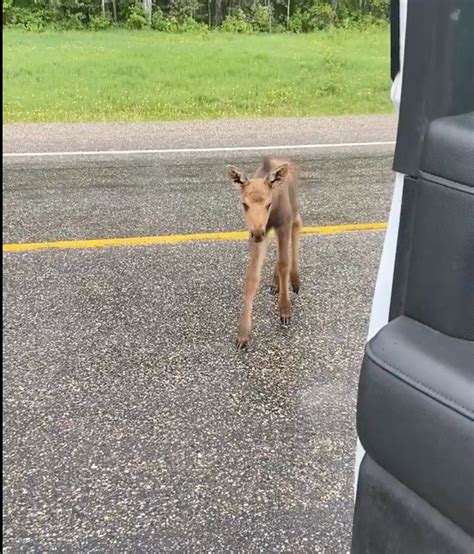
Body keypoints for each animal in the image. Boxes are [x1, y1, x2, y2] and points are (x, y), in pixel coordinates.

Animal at [225, 154, 300, 350]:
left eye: (269, 203)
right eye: (244, 204)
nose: (257, 233)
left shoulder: (283, 223)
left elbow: (284, 263)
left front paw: (285, 311)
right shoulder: (257, 232)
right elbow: (252, 277)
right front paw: (243, 335)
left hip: (294, 208)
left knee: (298, 226)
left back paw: (295, 280)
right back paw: (275, 283)